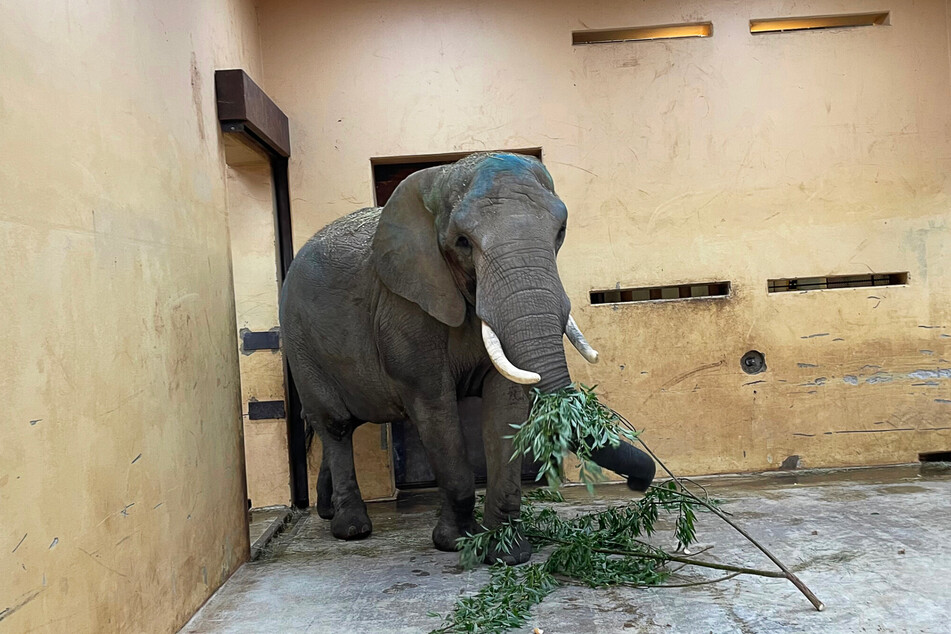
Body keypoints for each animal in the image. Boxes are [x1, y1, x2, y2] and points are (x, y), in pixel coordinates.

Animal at [278, 151, 660, 560]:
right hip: (299, 340)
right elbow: (434, 404)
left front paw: (507, 553)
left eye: (560, 232)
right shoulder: (405, 306)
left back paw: (328, 512)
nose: (640, 484)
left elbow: (506, 408)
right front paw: (457, 542)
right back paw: (351, 529)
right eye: (462, 242)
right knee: (334, 425)